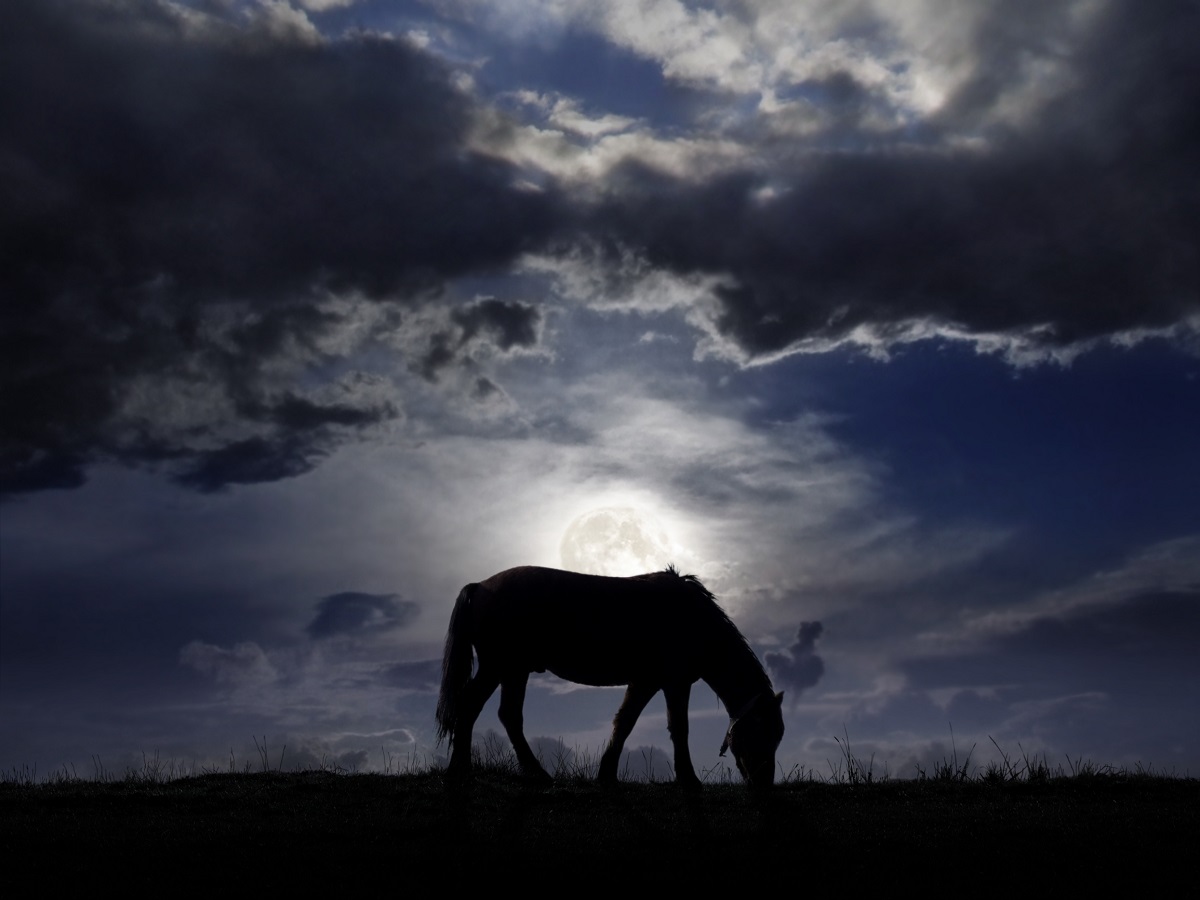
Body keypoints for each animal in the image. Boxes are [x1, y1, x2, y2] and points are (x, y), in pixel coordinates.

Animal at [436, 565, 784, 789]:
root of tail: (480, 586)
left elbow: (624, 723)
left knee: (506, 715)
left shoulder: (646, 681)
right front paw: (688, 780)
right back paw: (462, 771)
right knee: (472, 707)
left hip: (514, 671)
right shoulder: (674, 683)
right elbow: (679, 728)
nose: (763, 786)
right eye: (764, 733)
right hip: (499, 667)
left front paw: (607, 774)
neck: (694, 618)